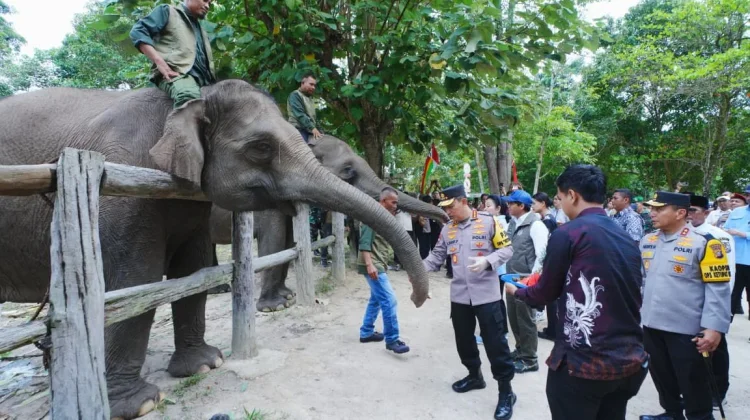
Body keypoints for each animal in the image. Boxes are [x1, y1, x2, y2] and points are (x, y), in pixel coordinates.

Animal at [208, 134, 448, 312]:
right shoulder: (267, 191)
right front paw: (274, 307)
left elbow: (288, 241)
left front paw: (288, 296)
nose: (446, 218)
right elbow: (274, 239)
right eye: (348, 170)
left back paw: (219, 289)